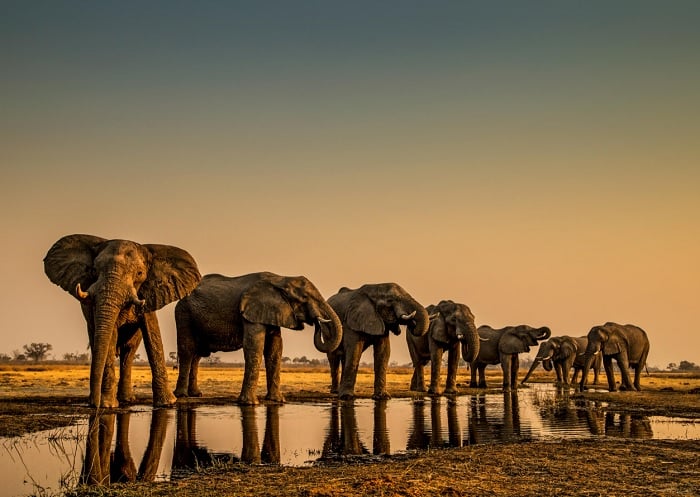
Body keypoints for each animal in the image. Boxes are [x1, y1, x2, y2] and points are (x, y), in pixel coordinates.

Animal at [44, 234, 201, 408]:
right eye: (94, 270)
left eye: (139, 273)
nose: (95, 406)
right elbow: (110, 335)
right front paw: (107, 405)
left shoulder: (149, 293)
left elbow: (152, 334)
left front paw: (167, 404)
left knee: (128, 352)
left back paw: (126, 399)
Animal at [174, 272, 343, 405]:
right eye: (305, 298)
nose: (317, 323)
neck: (281, 279)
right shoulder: (252, 313)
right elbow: (254, 345)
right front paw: (250, 403)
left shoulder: (272, 311)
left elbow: (275, 348)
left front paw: (278, 401)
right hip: (183, 314)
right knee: (187, 351)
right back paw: (181, 395)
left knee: (197, 355)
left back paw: (195, 394)